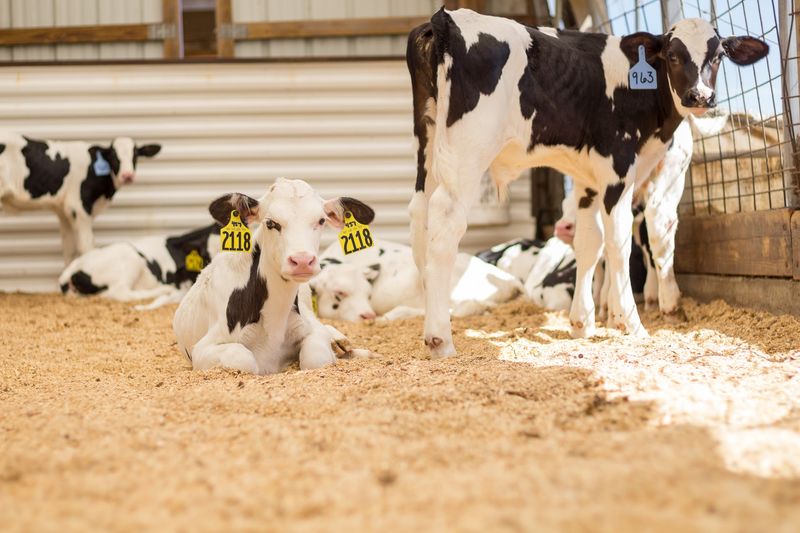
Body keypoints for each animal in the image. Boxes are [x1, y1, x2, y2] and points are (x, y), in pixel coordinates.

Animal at [0, 134, 161, 264]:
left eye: (136, 154)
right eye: (113, 156)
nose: (127, 175)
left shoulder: (64, 211)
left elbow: (69, 248)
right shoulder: (78, 207)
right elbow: (87, 245)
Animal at [173, 178, 377, 375]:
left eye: (321, 220)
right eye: (271, 223)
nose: (302, 260)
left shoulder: (312, 330)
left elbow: (315, 357)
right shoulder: (202, 349)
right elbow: (243, 358)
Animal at [406, 8, 769, 357]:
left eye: (718, 55)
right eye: (672, 56)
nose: (700, 96)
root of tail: (445, 18)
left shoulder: (588, 182)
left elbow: (589, 244)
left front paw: (583, 323)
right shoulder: (621, 168)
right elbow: (627, 242)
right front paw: (634, 320)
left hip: (429, 147)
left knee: (419, 216)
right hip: (467, 151)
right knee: (445, 222)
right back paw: (440, 338)